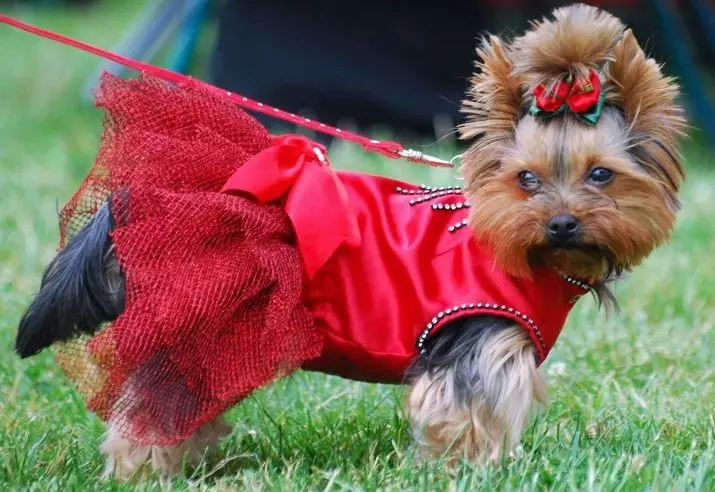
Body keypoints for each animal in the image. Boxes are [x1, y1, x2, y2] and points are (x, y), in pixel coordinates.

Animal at [15, 2, 688, 480]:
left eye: (600, 175)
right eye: (527, 180)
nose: (563, 224)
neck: (526, 254)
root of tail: (136, 202)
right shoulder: (478, 343)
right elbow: (466, 417)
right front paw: (471, 471)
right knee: (148, 410)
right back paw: (145, 470)